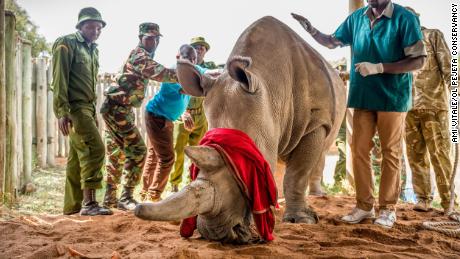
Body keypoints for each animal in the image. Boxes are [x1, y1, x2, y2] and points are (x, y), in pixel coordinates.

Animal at [135, 15, 346, 244]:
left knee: (319, 153)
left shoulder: (317, 121)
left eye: (245, 170)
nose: (216, 234)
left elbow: (297, 174)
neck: (272, 89)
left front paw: (301, 221)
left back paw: (316, 196)